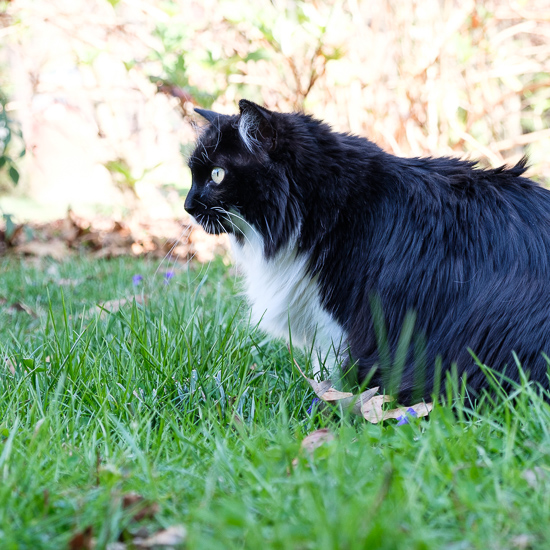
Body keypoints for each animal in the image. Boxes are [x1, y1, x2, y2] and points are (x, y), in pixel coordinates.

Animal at [185, 100, 550, 402]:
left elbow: (331, 368)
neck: (333, 205)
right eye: (193, 176)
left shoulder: (346, 315)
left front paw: (327, 395)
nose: (187, 205)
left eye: (217, 175)